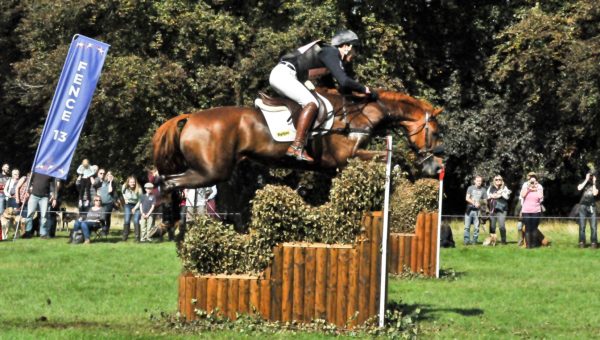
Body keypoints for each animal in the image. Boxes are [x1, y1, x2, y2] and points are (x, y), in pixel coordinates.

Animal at [152, 87, 442, 190]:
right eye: (436, 133)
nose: (435, 167)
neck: (360, 114)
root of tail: (191, 117)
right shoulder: (347, 157)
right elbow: (391, 156)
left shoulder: (338, 165)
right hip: (212, 171)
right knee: (168, 183)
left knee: (167, 182)